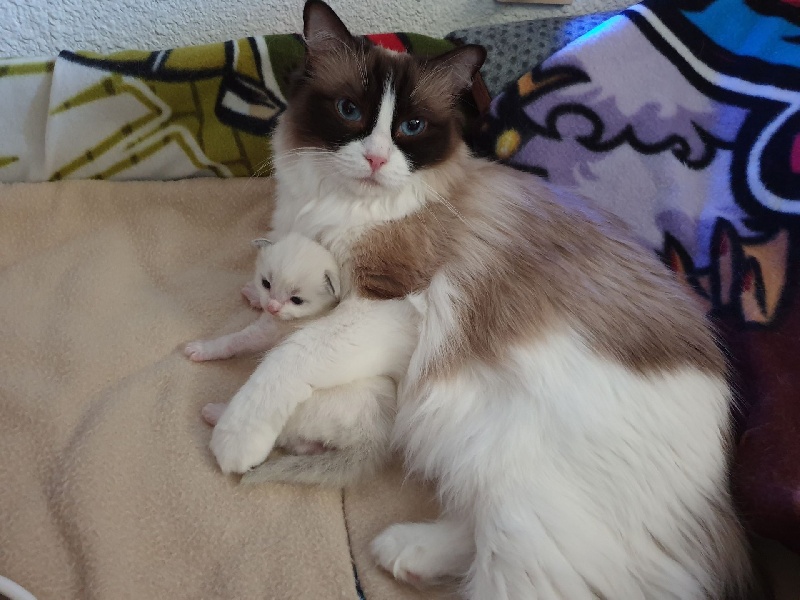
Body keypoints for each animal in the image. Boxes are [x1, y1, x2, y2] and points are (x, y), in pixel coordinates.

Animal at [186, 232, 400, 486]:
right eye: (266, 283)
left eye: (296, 300)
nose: (272, 307)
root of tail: (375, 437)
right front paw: (253, 295)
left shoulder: (263, 333)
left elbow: (233, 341)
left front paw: (203, 349)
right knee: (303, 445)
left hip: (303, 409)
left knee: (283, 435)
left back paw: (215, 413)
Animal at [208, 2, 756, 596]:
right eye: (350, 111)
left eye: (411, 127)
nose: (376, 159)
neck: (341, 206)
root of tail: (721, 512)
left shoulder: (388, 304)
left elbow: (289, 357)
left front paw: (234, 440)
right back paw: (402, 552)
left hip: (520, 509)